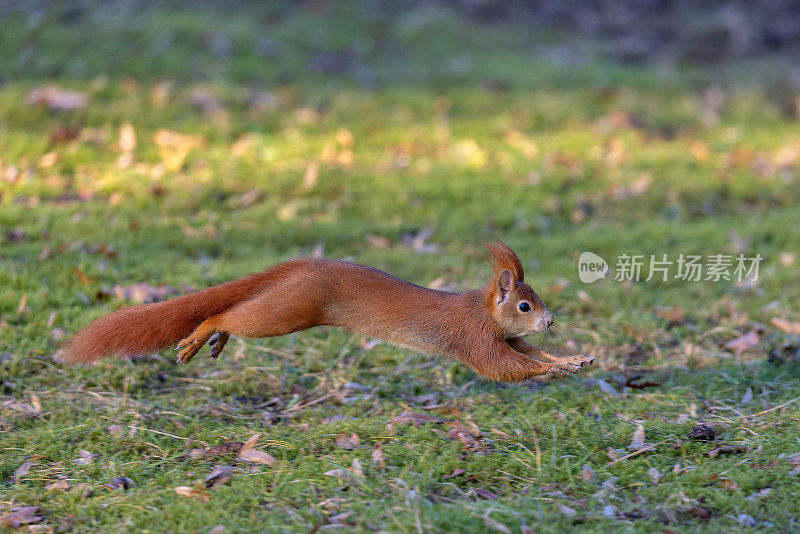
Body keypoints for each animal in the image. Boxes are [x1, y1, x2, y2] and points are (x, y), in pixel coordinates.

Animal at [62, 241, 592, 384]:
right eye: (524, 304)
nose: (549, 322)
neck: (482, 311)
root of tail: (300, 266)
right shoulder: (475, 337)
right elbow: (504, 368)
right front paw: (558, 367)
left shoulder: (504, 336)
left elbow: (528, 355)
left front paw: (571, 359)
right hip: (290, 310)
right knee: (231, 315)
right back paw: (205, 332)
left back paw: (215, 339)